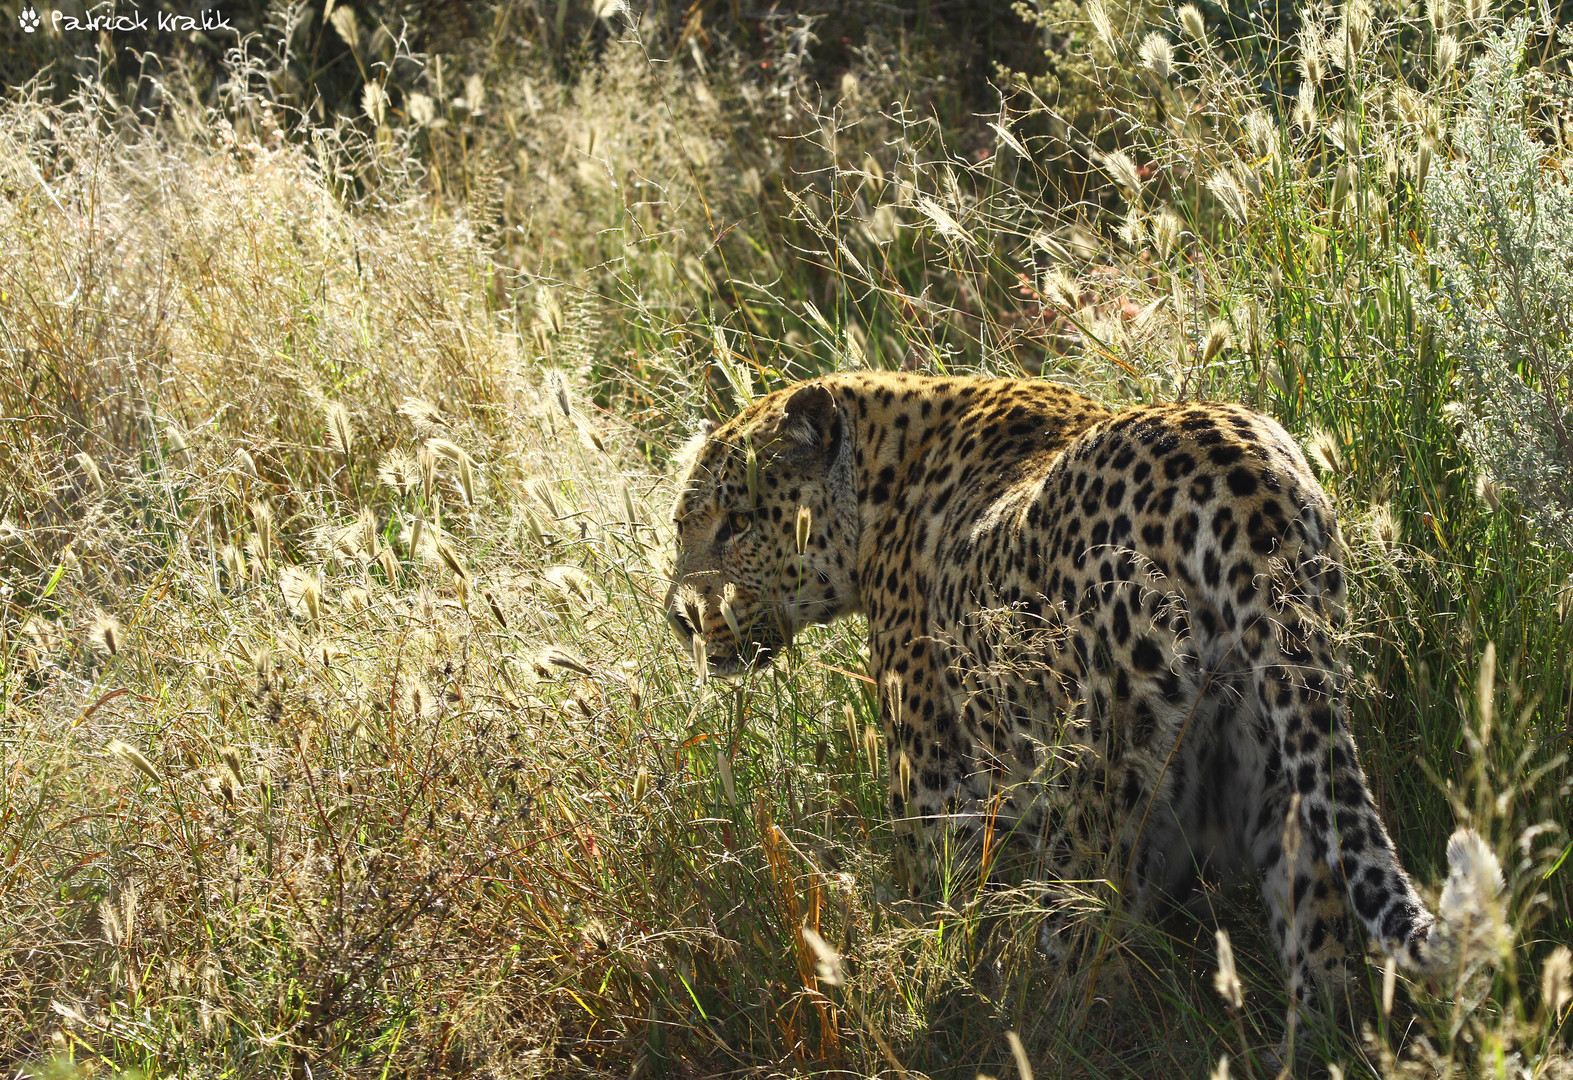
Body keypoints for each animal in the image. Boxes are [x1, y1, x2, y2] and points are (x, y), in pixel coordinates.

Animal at [663, 369, 1484, 1006]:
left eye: (737, 523)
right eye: (683, 525)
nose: (680, 617)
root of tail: (1241, 483)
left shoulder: (935, 786)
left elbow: (944, 910)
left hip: (1094, 787)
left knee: (1092, 951)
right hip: (1288, 741)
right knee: (1322, 948)